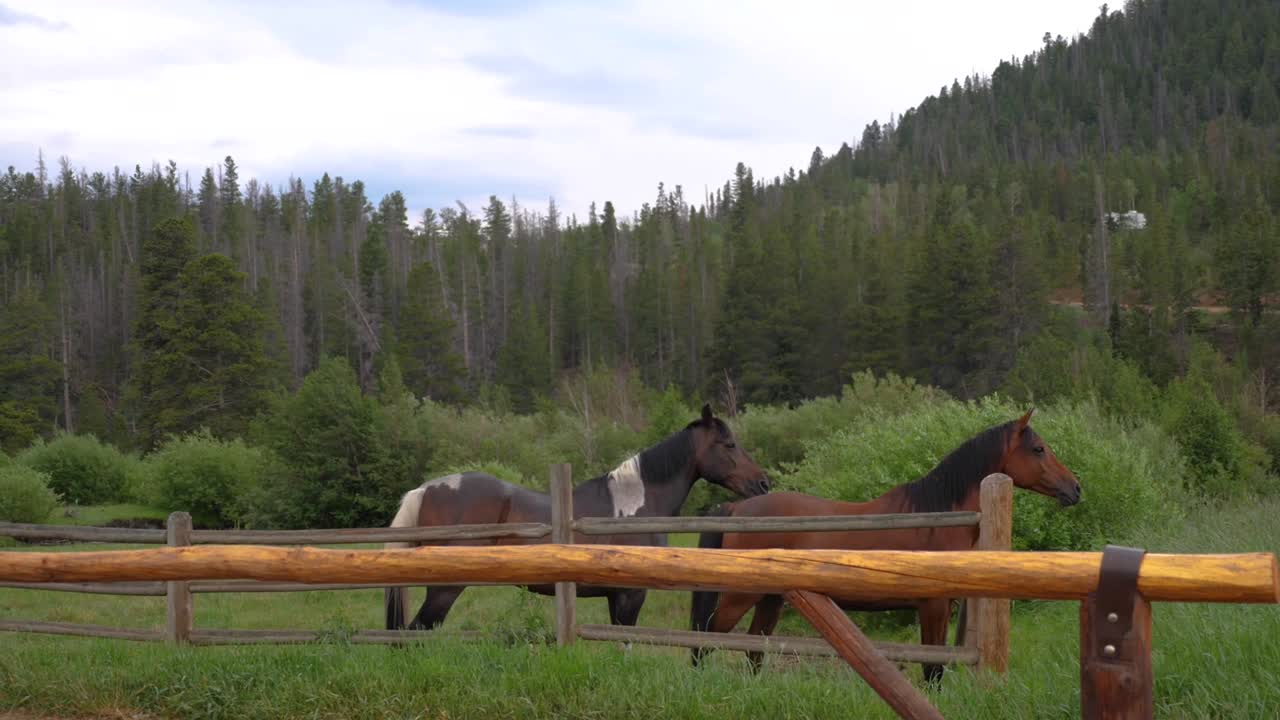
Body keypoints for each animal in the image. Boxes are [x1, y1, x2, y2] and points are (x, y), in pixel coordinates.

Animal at [385, 404, 771, 632]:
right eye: (729, 444)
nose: (763, 483)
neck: (635, 505)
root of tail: (426, 489)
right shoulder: (630, 596)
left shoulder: (615, 597)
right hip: (444, 589)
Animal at [689, 409, 1080, 682]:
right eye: (1039, 449)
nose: (1075, 488)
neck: (936, 515)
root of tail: (737, 508)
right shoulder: (932, 606)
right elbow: (932, 669)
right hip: (739, 596)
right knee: (707, 638)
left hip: (771, 599)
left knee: (754, 648)